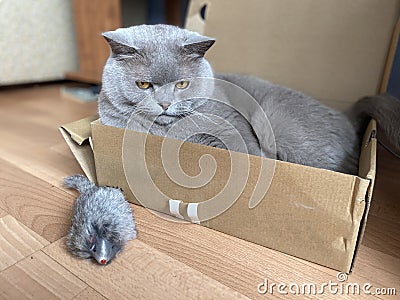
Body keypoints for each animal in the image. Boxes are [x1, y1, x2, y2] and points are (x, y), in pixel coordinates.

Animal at [97, 24, 400, 175]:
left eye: (182, 84)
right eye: (144, 84)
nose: (164, 104)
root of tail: (345, 114)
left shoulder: (234, 128)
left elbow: (243, 150)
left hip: (279, 123)